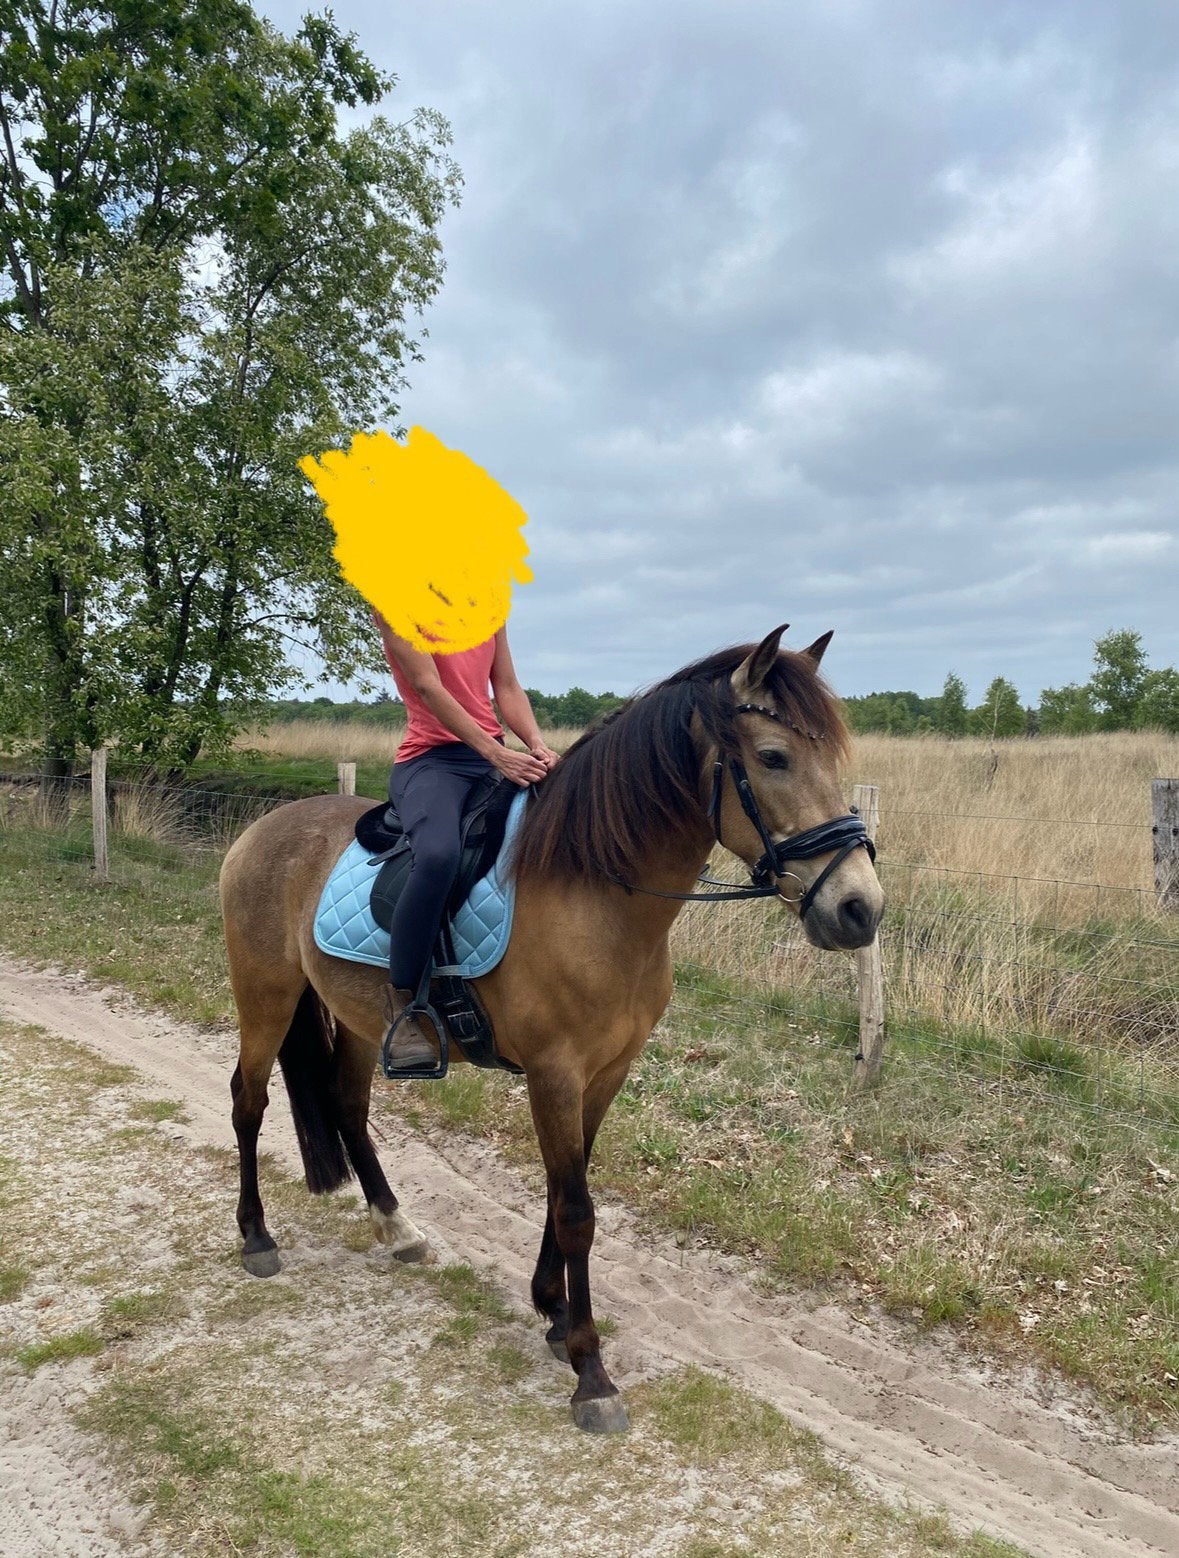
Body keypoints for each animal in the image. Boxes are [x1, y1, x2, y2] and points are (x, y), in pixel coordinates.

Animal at [218, 625, 884, 1433]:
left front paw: (554, 1311)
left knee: (347, 1105)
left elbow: (570, 1183)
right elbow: (575, 1211)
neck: (593, 887)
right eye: (774, 757)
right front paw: (590, 1370)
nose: (860, 909)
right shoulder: (554, 1073)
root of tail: (260, 828)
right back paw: (256, 1237)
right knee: (248, 1100)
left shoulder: (606, 1071)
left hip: (357, 1017)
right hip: (266, 995)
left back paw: (396, 1227)